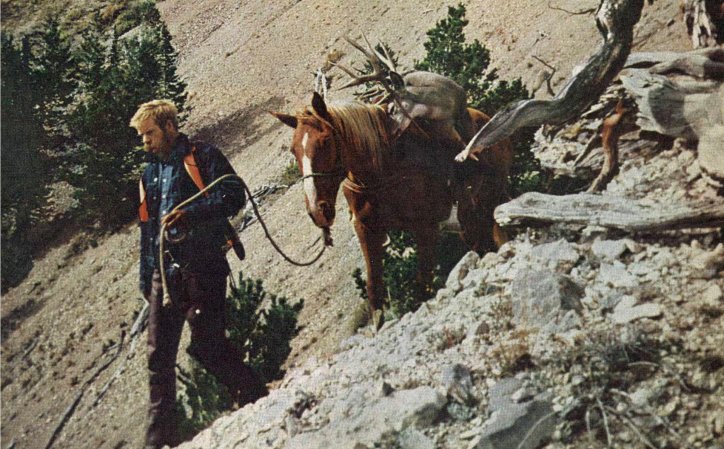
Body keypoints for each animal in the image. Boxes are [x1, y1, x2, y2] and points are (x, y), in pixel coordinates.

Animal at [272, 92, 516, 326]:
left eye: (325, 142)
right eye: (294, 151)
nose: (317, 210)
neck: (381, 170)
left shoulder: (425, 227)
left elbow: (424, 281)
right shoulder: (366, 230)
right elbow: (374, 287)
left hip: (492, 200)